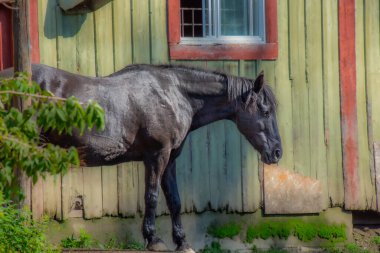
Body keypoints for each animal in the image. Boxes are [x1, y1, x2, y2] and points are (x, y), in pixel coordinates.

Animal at [0, 64, 280, 252]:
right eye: (265, 111)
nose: (277, 152)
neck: (173, 94)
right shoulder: (157, 156)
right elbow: (152, 197)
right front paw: (154, 240)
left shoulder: (170, 159)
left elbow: (174, 200)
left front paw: (182, 242)